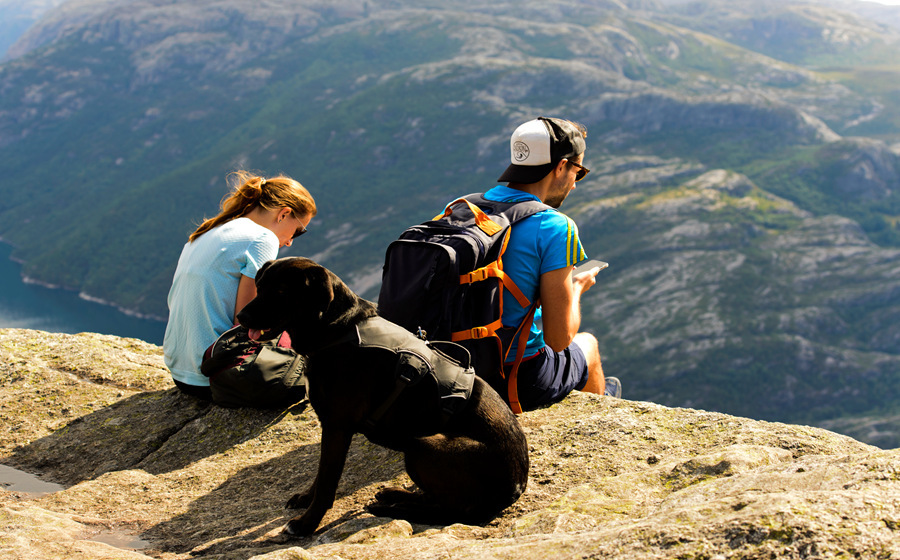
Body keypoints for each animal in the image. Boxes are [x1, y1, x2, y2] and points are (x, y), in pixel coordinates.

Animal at [239, 258, 532, 532]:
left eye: (280, 291)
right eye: (259, 287)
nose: (241, 317)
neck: (338, 330)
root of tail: (517, 485)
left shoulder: (337, 427)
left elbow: (326, 482)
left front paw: (306, 524)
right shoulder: (331, 427)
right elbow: (320, 475)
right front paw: (305, 499)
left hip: (423, 446)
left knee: (448, 509)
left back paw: (390, 507)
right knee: (436, 500)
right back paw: (394, 495)